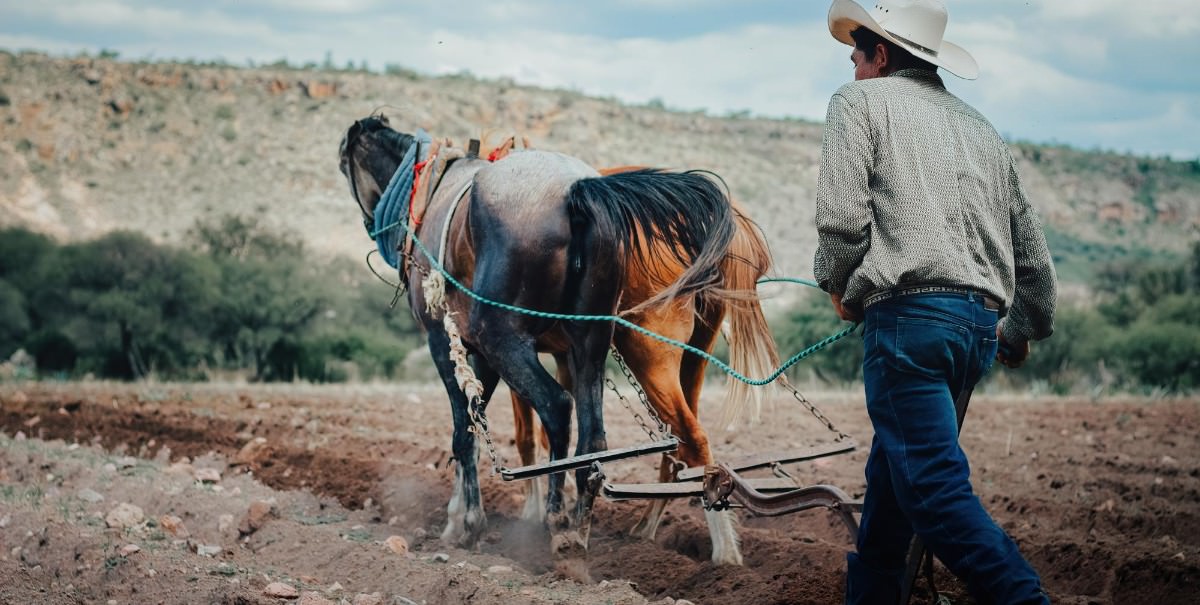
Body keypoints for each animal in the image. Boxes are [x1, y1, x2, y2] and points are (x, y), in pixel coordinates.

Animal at [338, 114, 746, 557]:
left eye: (344, 165)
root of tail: (577, 190)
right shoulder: (487, 354)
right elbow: (475, 424)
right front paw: (460, 517)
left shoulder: (446, 340)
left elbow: (464, 432)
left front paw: (466, 523)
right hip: (590, 342)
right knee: (595, 437)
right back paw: (580, 528)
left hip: (510, 337)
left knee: (559, 407)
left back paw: (560, 520)